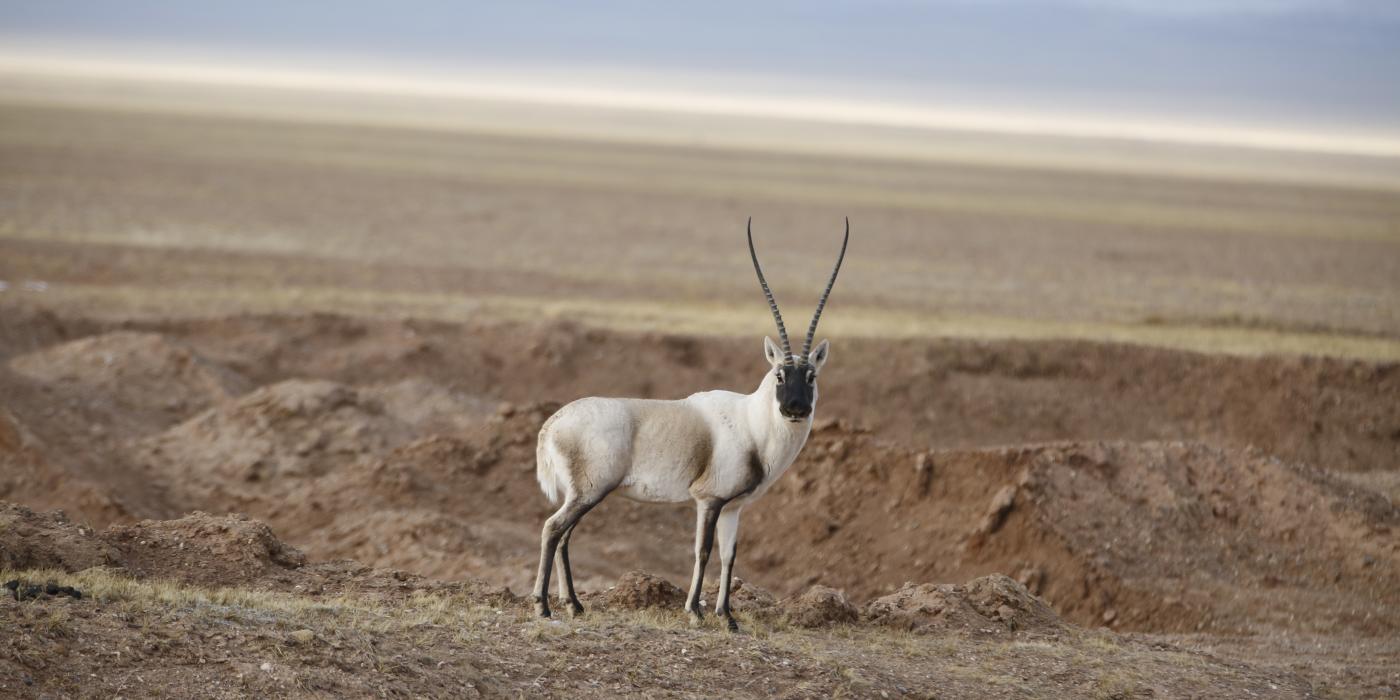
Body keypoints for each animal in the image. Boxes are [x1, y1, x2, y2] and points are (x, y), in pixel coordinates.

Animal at [529, 215, 845, 632]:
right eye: (779, 375)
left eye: (811, 376)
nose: (795, 408)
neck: (753, 423)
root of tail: (551, 424)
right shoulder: (708, 500)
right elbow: (703, 550)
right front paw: (695, 611)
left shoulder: (733, 507)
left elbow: (729, 555)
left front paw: (728, 617)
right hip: (590, 491)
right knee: (553, 529)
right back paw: (543, 607)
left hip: (582, 494)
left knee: (564, 535)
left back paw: (574, 605)